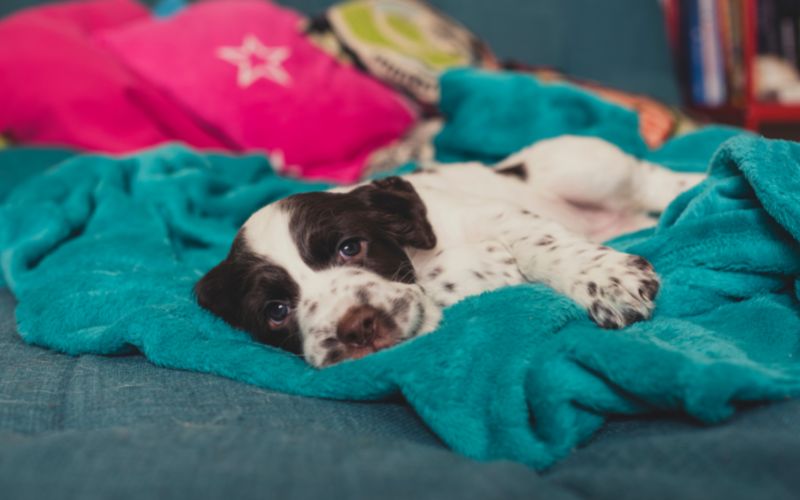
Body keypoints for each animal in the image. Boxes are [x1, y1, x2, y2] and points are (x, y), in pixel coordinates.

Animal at [197, 137, 704, 368]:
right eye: (277, 311)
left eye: (350, 247)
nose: (357, 328)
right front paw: (485, 267)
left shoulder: (503, 215)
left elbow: (539, 247)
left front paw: (606, 281)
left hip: (577, 165)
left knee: (650, 177)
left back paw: (703, 180)